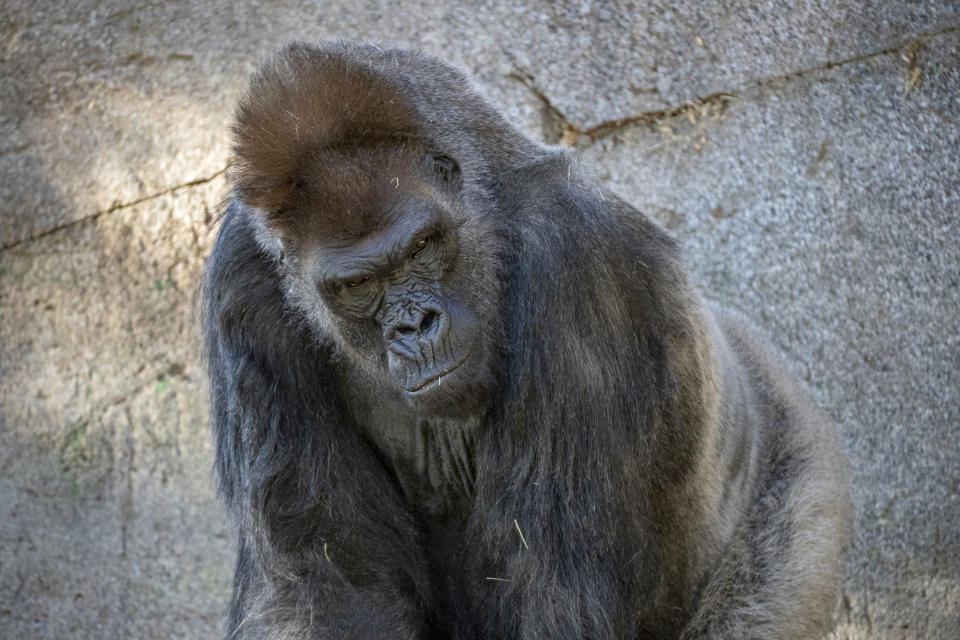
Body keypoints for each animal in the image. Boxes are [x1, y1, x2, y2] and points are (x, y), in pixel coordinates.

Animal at [201, 41, 848, 640]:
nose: (415, 327)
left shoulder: (577, 251)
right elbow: (331, 584)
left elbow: (554, 590)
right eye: (358, 284)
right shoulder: (243, 281)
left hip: (799, 485)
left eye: (422, 247)